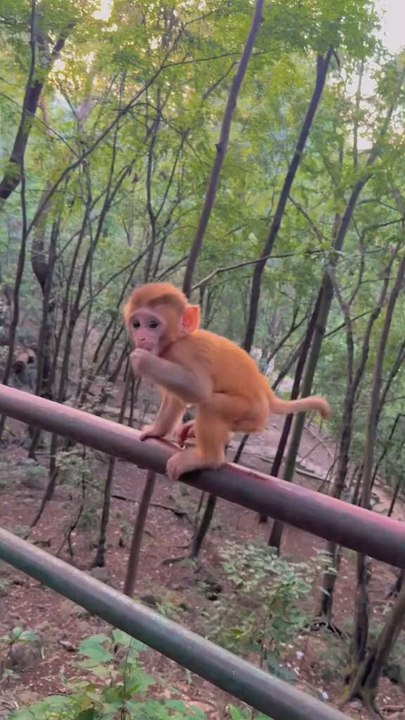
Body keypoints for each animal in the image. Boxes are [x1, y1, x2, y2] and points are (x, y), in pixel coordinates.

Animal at [123, 282, 331, 482]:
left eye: (152, 324)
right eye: (136, 324)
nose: (141, 337)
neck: (175, 341)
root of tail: (264, 390)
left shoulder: (183, 352)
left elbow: (199, 390)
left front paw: (142, 360)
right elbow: (175, 400)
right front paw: (157, 431)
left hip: (252, 410)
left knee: (212, 404)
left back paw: (208, 459)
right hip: (253, 419)